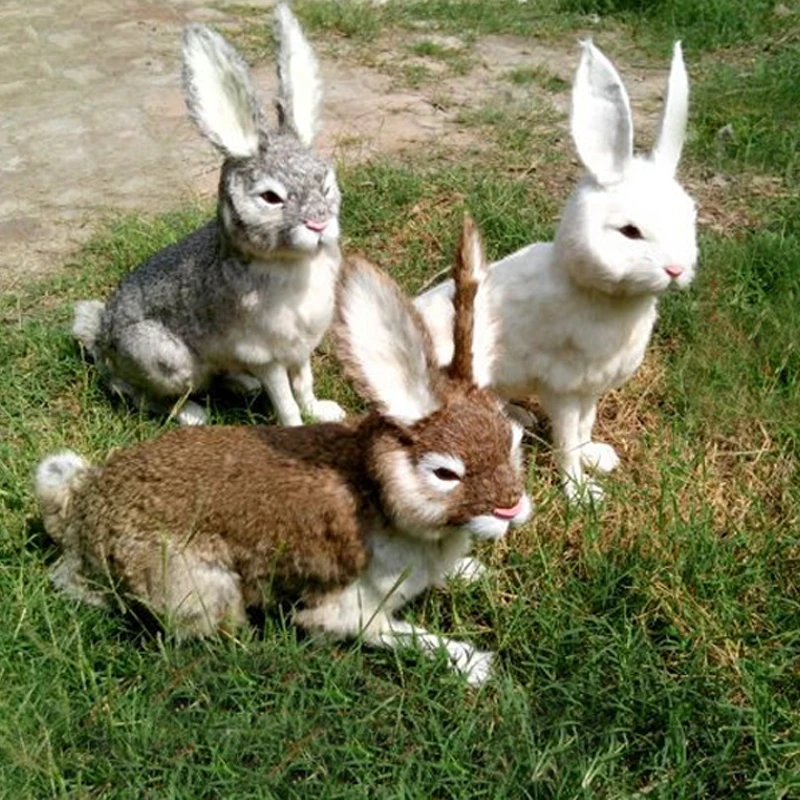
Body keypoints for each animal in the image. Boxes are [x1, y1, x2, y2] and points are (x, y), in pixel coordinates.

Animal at [36, 216, 532, 686]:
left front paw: (471, 572)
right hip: (204, 589)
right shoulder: (350, 607)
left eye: (512, 441)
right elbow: (387, 632)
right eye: (445, 473)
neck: (378, 493)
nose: (511, 508)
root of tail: (80, 518)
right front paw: (473, 665)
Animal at [72, 4, 346, 427]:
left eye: (327, 183)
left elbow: (304, 384)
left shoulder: (299, 348)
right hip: (165, 360)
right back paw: (194, 415)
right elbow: (285, 399)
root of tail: (102, 340)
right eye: (270, 197)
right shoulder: (265, 354)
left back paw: (242, 386)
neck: (294, 264)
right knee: (139, 394)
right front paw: (297, 427)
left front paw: (324, 411)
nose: (318, 224)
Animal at [415, 41, 698, 501]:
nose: (675, 269)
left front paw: (597, 460)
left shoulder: (591, 389)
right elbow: (566, 438)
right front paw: (582, 495)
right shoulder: (563, 387)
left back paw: (519, 418)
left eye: (689, 218)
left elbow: (584, 428)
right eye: (630, 231)